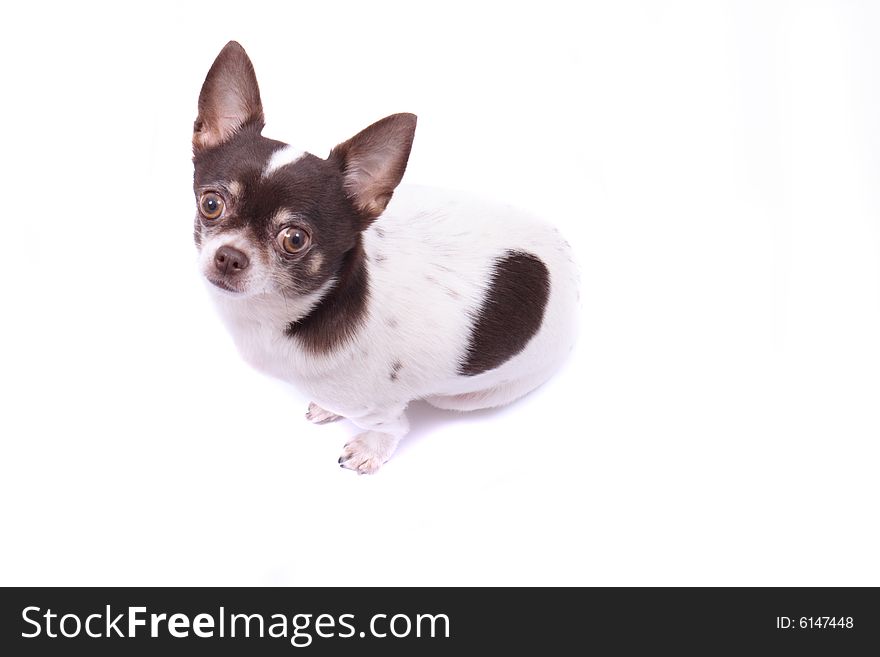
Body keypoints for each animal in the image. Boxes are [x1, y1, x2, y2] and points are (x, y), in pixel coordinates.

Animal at [192, 41, 576, 472]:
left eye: (295, 239)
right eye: (211, 204)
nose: (229, 256)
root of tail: (569, 261)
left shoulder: (381, 408)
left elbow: (391, 428)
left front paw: (369, 451)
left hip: (465, 395)